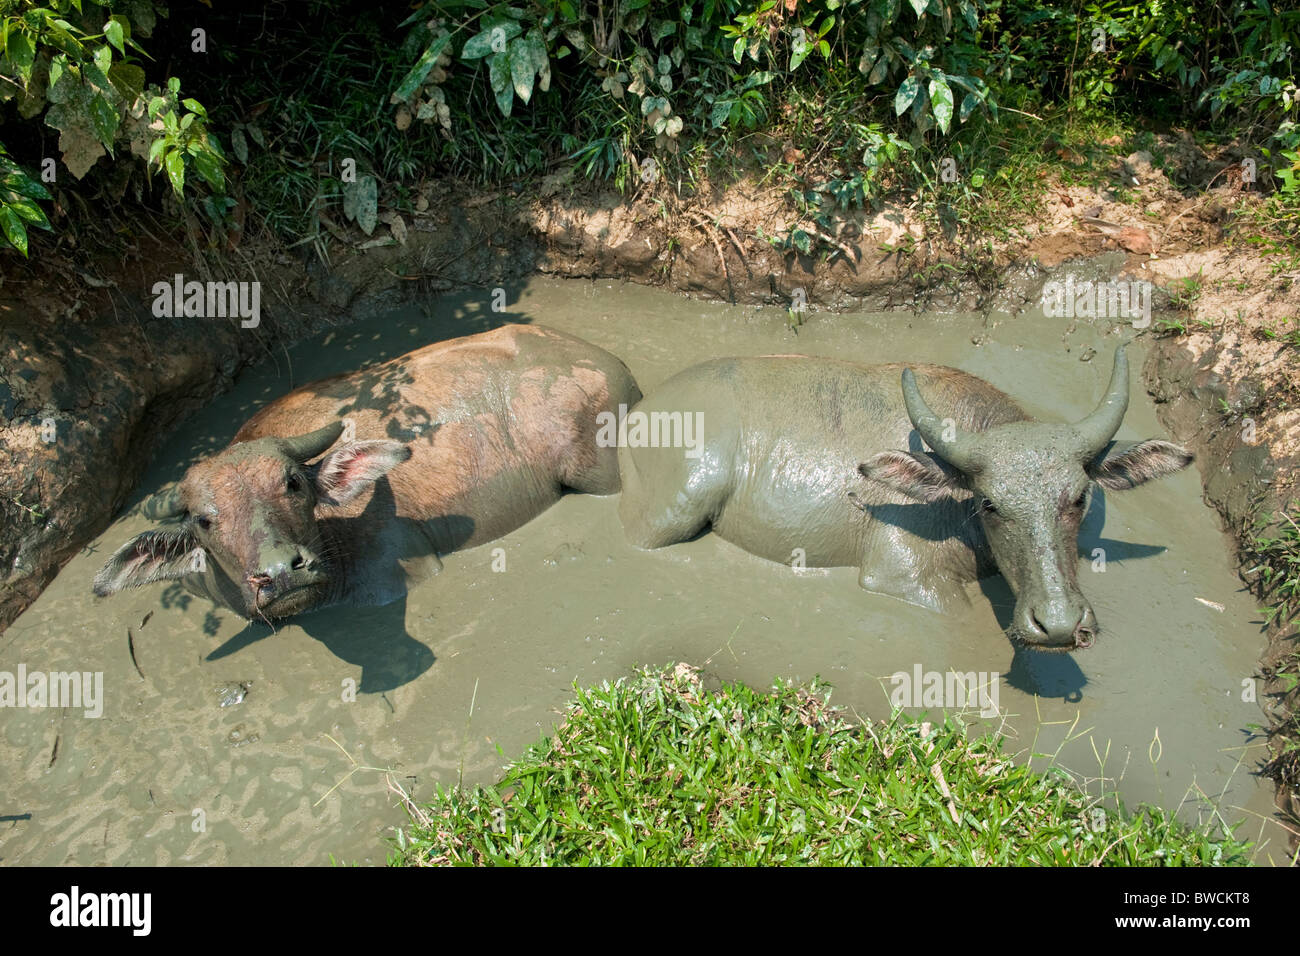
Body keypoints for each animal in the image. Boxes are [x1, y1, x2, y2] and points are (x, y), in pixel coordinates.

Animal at [616, 348, 1190, 655]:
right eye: (989, 504)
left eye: (1079, 497)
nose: (1060, 624)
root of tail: (644, 409)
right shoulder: (900, 573)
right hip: (680, 502)